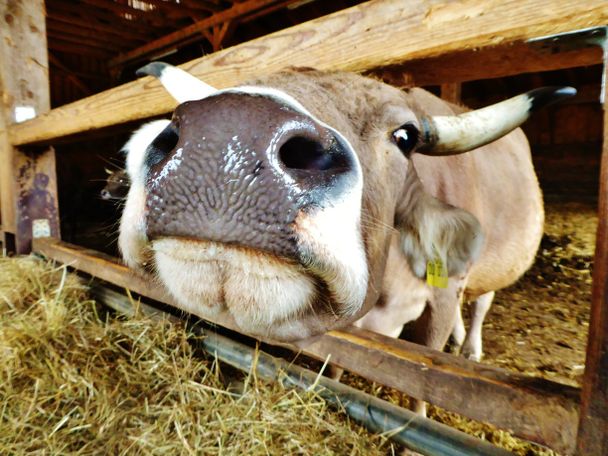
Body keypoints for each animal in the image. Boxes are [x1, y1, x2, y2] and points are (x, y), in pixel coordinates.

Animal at [119, 62, 576, 388]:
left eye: (406, 137)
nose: (229, 135)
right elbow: (339, 368)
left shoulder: (442, 302)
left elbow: (425, 384)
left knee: (481, 303)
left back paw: (471, 349)